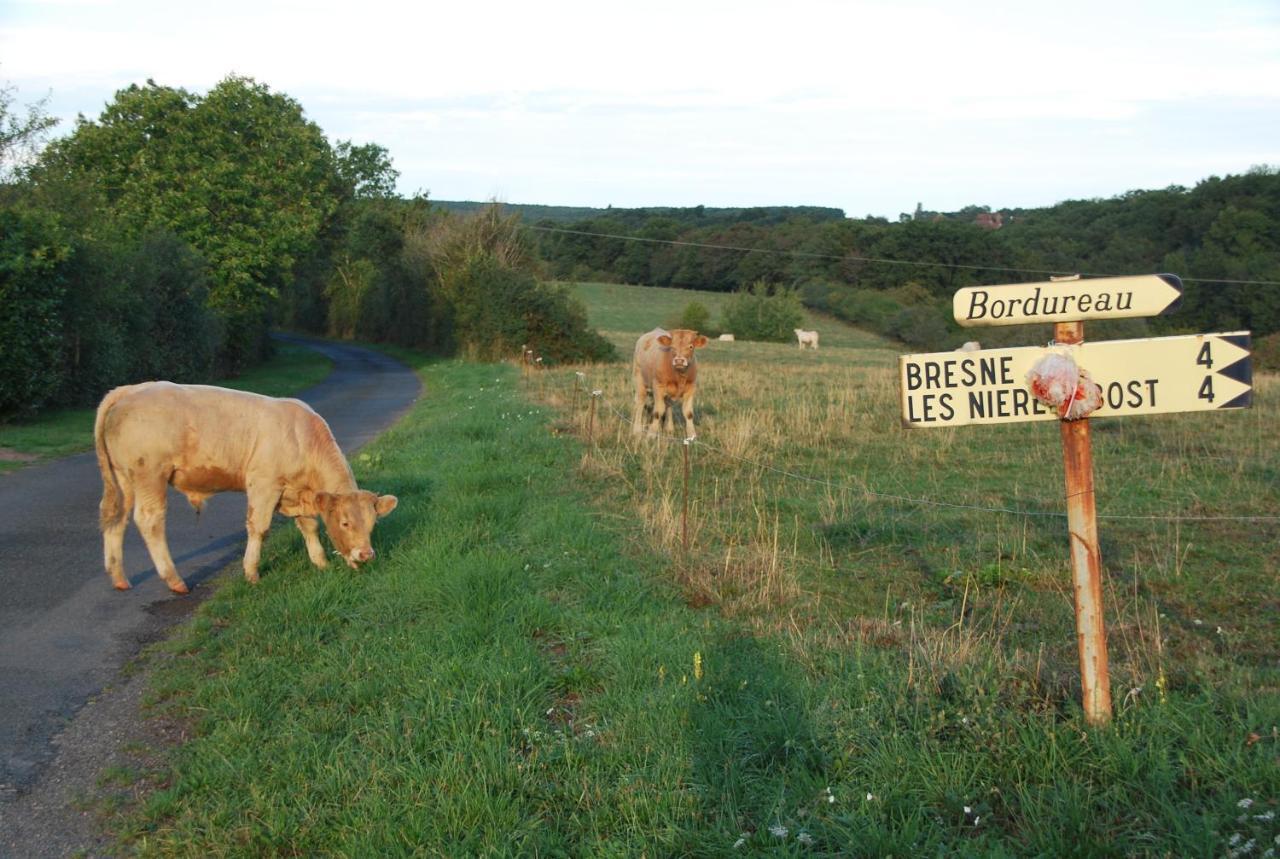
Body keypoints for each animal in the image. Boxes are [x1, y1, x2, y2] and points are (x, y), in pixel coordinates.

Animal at [92, 384, 394, 594]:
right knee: (149, 521)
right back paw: (174, 579)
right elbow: (259, 528)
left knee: (115, 517)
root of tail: (131, 389)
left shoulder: (297, 492)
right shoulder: (264, 484)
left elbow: (309, 526)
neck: (302, 437)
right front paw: (251, 573)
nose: (366, 555)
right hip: (150, 475)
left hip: (123, 479)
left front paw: (320, 563)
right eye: (345, 523)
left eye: (372, 524)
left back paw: (119, 577)